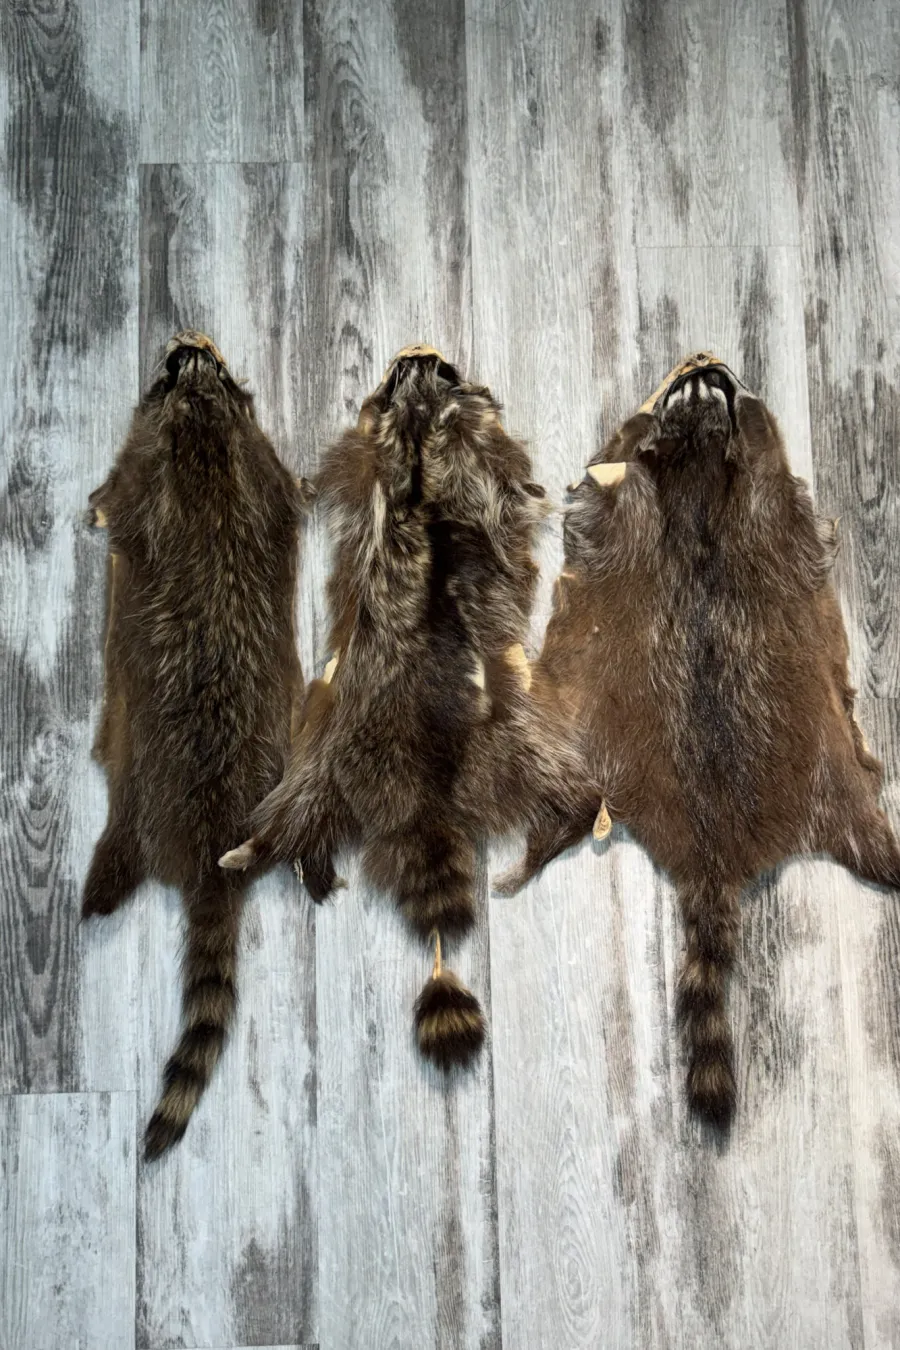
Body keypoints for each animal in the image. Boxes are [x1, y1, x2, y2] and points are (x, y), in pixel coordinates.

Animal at [83, 331, 308, 1159]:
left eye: (176, 363)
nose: (189, 337)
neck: (206, 414)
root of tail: (213, 837)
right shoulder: (263, 465)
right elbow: (291, 492)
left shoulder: (144, 459)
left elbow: (115, 494)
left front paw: (91, 506)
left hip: (134, 784)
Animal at [221, 346, 596, 1067]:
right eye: (413, 370)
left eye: (432, 368)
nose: (418, 352)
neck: (422, 430)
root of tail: (422, 789)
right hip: (365, 745)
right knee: (303, 812)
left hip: (427, 739)